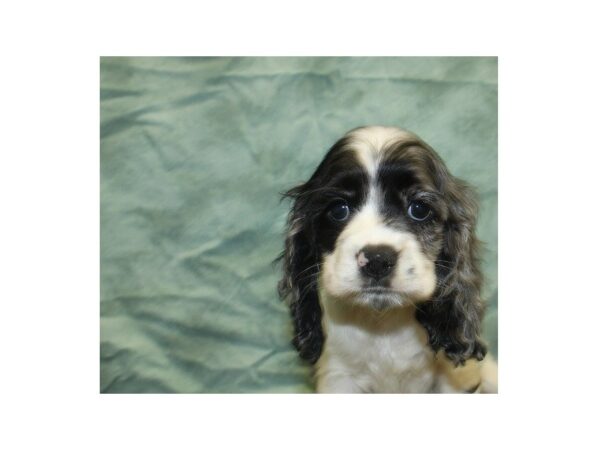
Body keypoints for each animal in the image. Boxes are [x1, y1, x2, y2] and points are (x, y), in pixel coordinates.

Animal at [278, 126, 500, 394]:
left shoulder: (454, 379)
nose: (377, 260)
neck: (383, 322)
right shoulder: (338, 376)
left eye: (419, 209)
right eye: (339, 209)